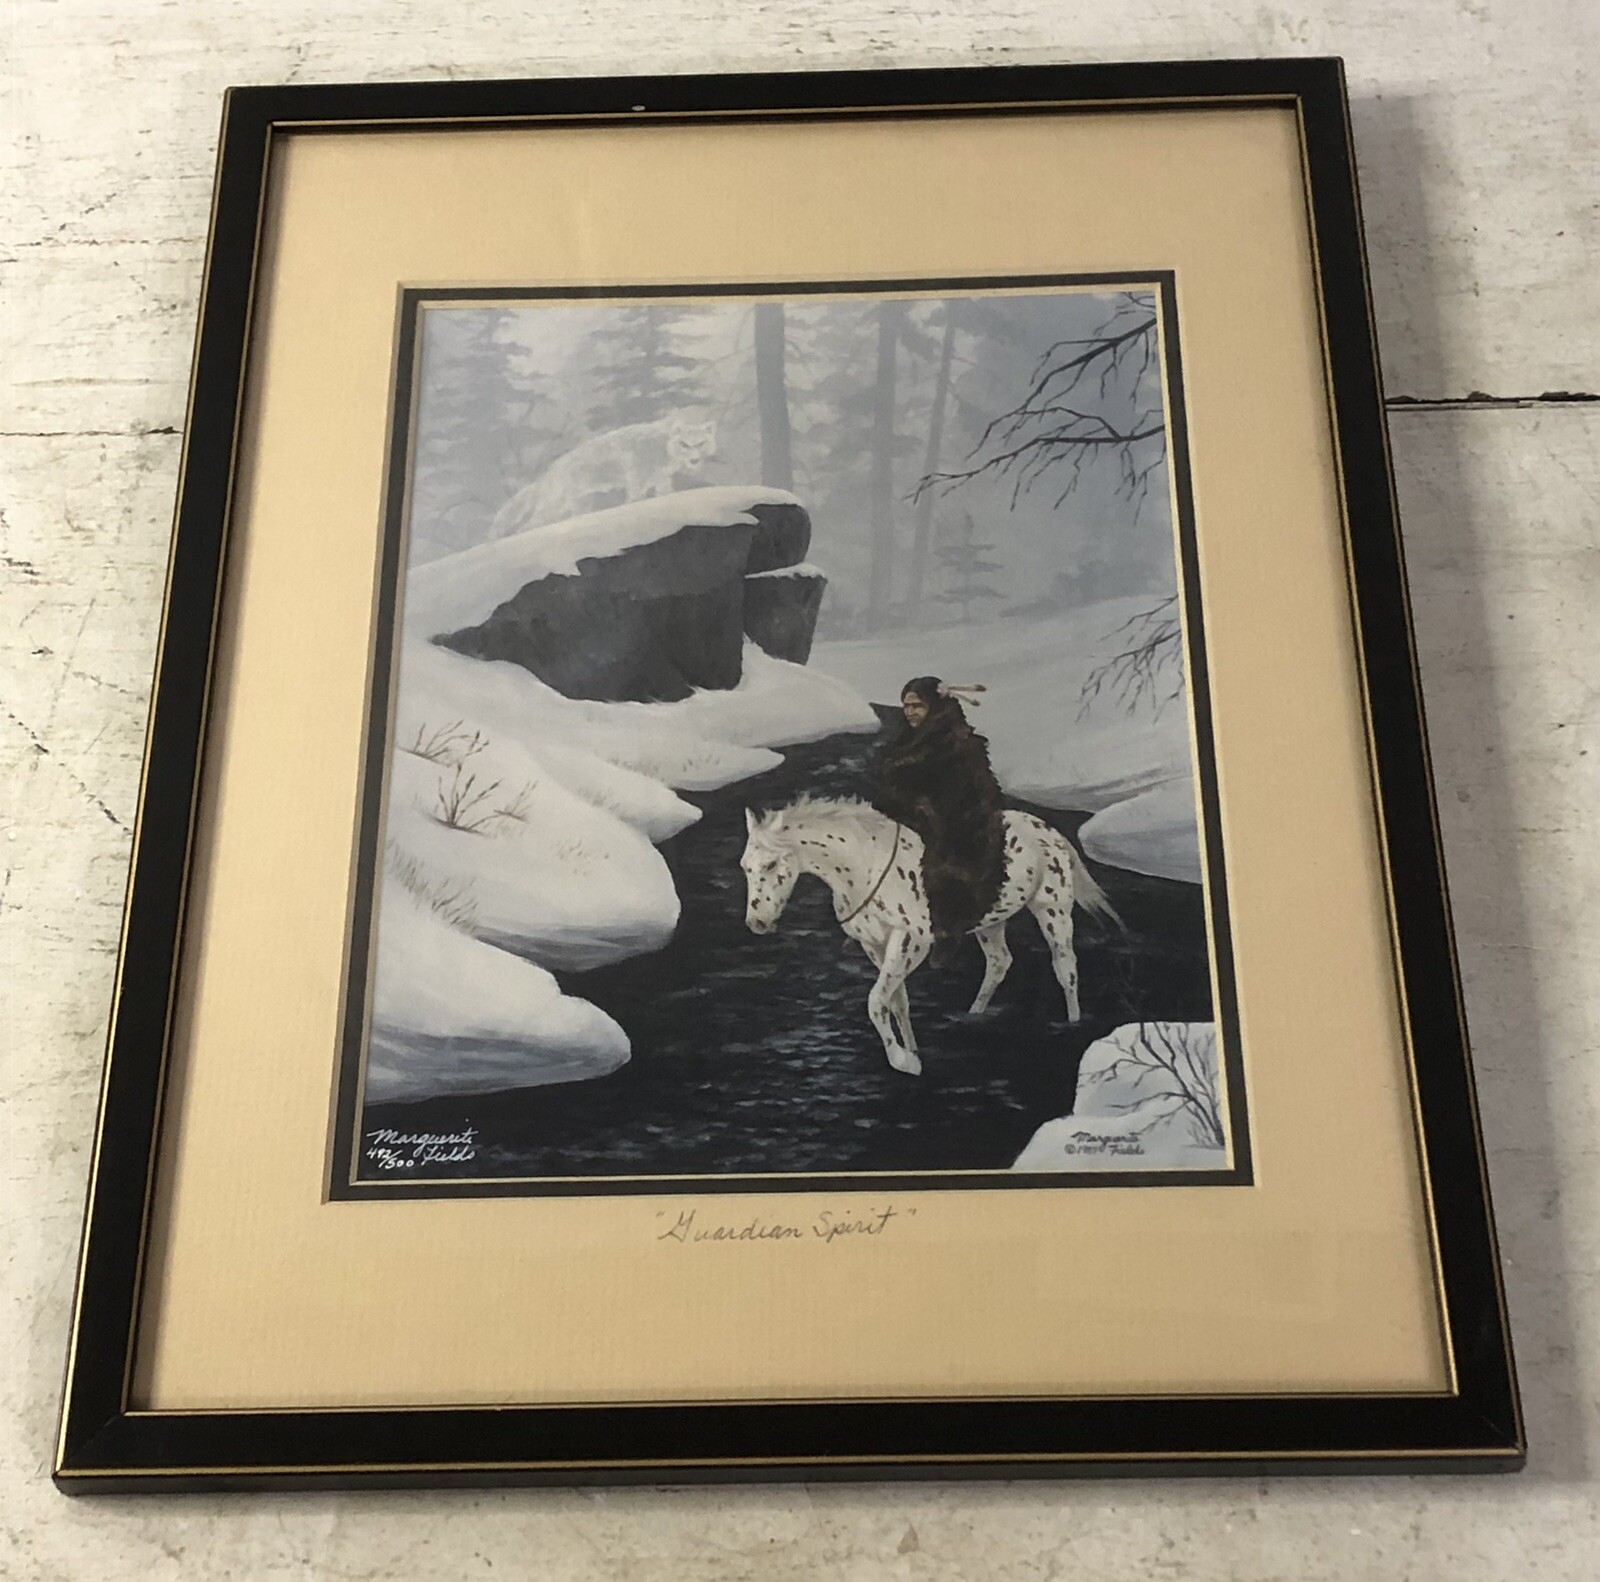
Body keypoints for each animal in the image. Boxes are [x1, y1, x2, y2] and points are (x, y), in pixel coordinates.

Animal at [739, 796, 1120, 1076]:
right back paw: (973, 1015)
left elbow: (876, 1001)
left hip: (1053, 913)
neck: (867, 868)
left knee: (1065, 969)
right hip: (990, 924)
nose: (757, 922)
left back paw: (1074, 1023)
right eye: (746, 867)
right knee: (1000, 963)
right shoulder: (875, 946)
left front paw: (904, 1062)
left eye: (771, 865)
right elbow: (896, 1002)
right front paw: (913, 1052)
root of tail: (1048, 831)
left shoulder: (910, 942)